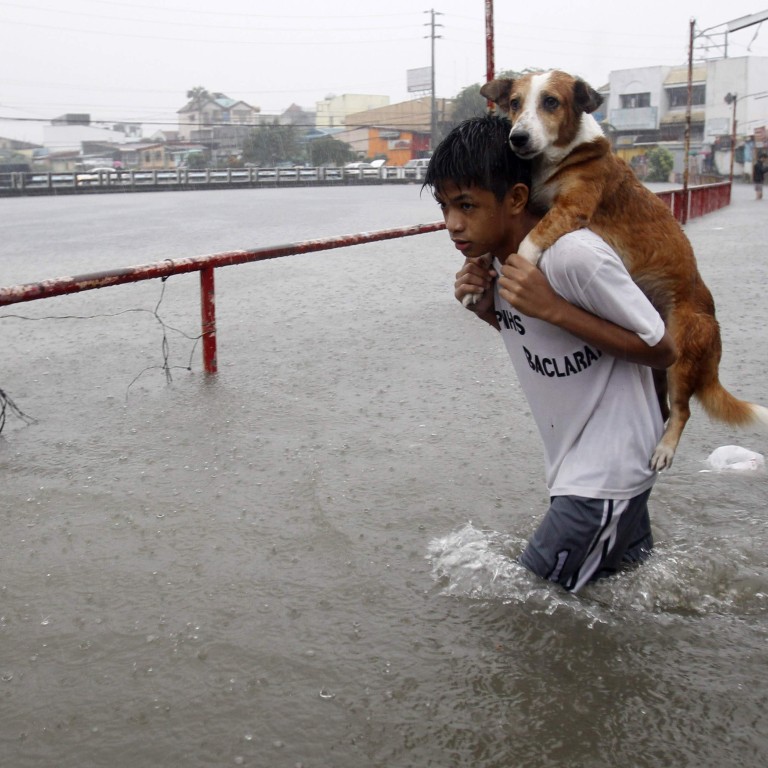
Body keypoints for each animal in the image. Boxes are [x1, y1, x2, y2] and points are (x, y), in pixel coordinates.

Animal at [476, 69, 764, 472]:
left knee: (683, 411)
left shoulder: (571, 208)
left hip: (680, 359)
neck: (560, 158)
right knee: (664, 407)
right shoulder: (534, 201)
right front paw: (475, 275)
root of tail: (713, 324)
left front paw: (520, 264)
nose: (517, 138)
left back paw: (665, 449)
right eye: (515, 103)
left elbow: (530, 240)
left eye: (551, 102)